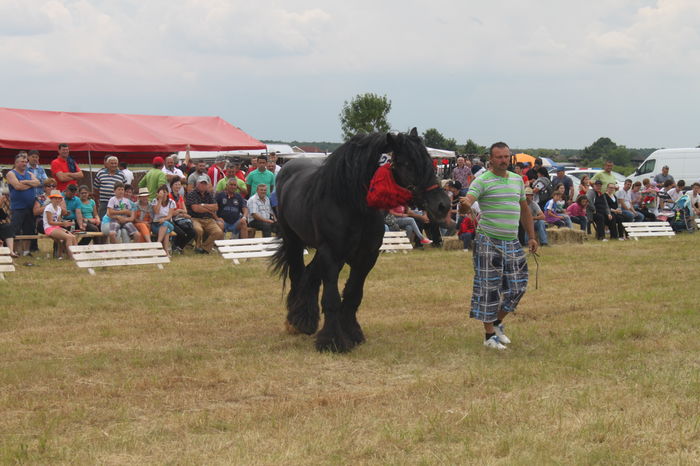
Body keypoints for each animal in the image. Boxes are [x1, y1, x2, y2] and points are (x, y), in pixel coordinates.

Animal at [272, 128, 451, 352]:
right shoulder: (331, 254)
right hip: (294, 241)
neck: (351, 204)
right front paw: (332, 341)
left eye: (429, 160)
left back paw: (305, 319)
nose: (443, 205)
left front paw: (352, 333)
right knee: (297, 274)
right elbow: (332, 299)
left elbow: (353, 294)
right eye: (406, 163)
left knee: (310, 275)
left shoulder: (366, 257)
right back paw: (296, 322)